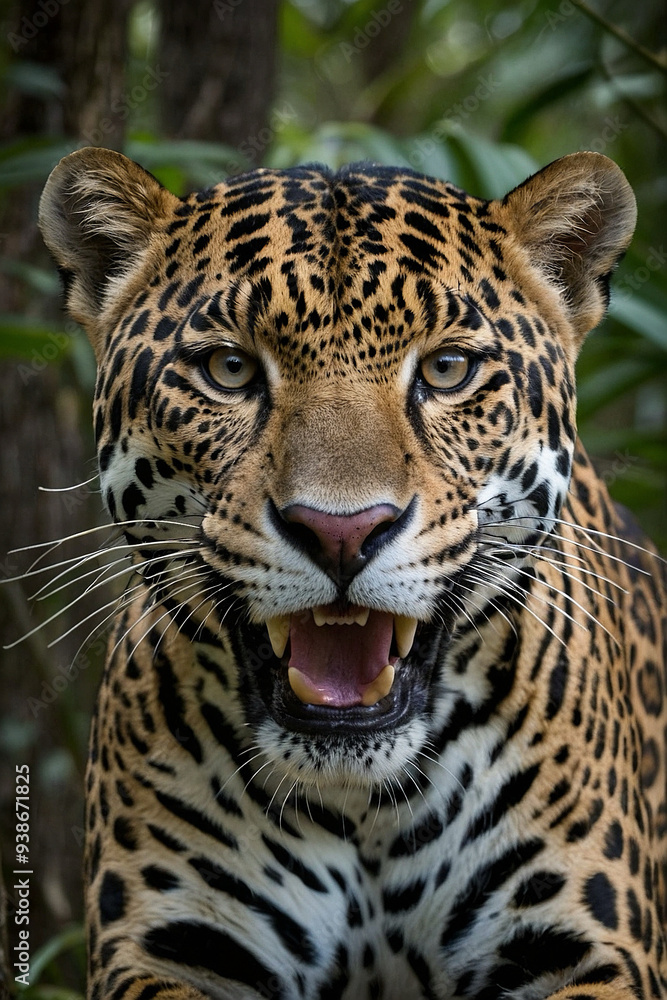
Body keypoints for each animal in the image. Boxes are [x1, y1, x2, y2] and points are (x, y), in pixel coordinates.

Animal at [38, 146, 666, 1000]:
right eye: (228, 369)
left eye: (447, 368)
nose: (340, 532)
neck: (364, 804)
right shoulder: (163, 948)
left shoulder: (586, 948)